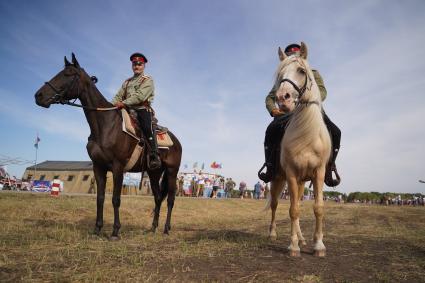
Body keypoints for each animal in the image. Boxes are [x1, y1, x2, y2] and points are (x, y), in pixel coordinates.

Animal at [35, 53, 182, 240]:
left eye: (68, 74)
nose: (38, 96)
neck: (105, 125)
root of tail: (176, 141)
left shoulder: (118, 168)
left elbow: (115, 199)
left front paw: (115, 231)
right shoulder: (99, 167)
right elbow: (100, 198)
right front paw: (97, 229)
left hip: (171, 172)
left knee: (170, 199)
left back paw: (166, 229)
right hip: (154, 172)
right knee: (157, 197)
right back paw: (153, 228)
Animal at [264, 42, 332, 258]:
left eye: (302, 71)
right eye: (280, 75)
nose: (282, 98)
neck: (307, 135)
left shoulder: (318, 173)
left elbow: (318, 208)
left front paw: (318, 245)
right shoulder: (292, 174)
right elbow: (292, 210)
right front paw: (293, 246)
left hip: (303, 181)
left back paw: (302, 238)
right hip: (278, 179)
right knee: (276, 205)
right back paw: (273, 234)